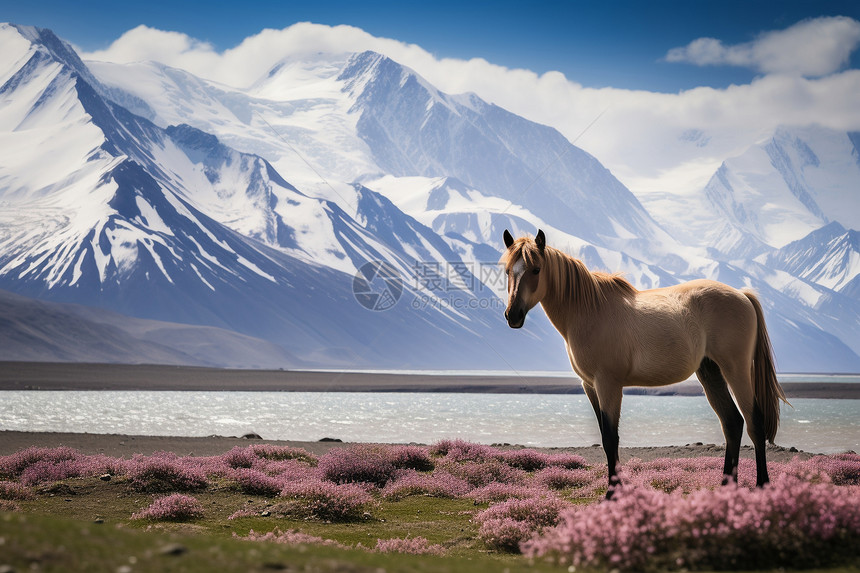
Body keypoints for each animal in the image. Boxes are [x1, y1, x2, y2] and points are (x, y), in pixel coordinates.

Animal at [498, 227, 788, 492]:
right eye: (508, 270)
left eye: (536, 269)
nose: (513, 315)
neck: (589, 311)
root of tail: (742, 295)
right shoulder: (590, 386)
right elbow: (605, 436)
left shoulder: (608, 384)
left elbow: (611, 438)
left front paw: (613, 493)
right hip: (711, 372)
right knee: (732, 423)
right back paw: (727, 486)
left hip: (735, 369)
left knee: (754, 422)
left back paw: (762, 484)